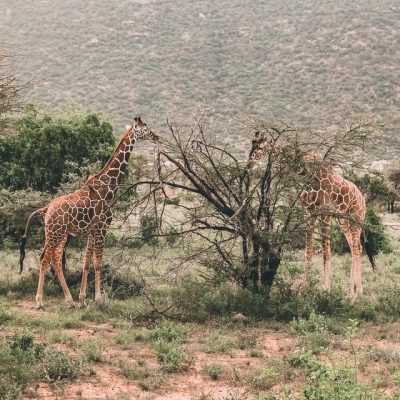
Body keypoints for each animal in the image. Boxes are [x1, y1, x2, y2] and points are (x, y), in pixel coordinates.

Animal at [19, 117, 158, 308]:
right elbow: (97, 262)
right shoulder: (102, 227)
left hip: (56, 234)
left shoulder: (92, 230)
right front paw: (98, 299)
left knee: (52, 259)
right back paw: (42, 301)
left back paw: (69, 300)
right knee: (47, 259)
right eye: (145, 128)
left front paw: (83, 299)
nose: (156, 136)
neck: (108, 188)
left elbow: (86, 262)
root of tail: (46, 209)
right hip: (56, 233)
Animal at [248, 131, 376, 300]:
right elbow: (308, 251)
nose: (250, 160)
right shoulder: (308, 212)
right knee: (356, 247)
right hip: (343, 220)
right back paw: (354, 292)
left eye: (261, 146)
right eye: (252, 143)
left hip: (356, 218)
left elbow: (326, 252)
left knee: (356, 248)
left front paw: (326, 289)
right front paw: (305, 289)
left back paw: (353, 294)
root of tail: (362, 198)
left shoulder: (324, 212)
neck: (306, 174)